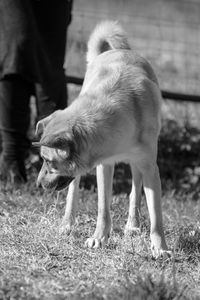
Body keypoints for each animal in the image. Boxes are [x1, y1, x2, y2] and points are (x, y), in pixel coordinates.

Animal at [34, 20, 170, 258]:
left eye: (48, 161)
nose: (38, 184)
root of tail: (113, 51)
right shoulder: (104, 165)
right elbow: (103, 207)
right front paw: (99, 238)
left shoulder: (150, 167)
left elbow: (156, 216)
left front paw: (160, 248)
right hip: (79, 176)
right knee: (73, 189)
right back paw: (67, 224)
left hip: (139, 164)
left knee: (135, 188)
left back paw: (132, 225)